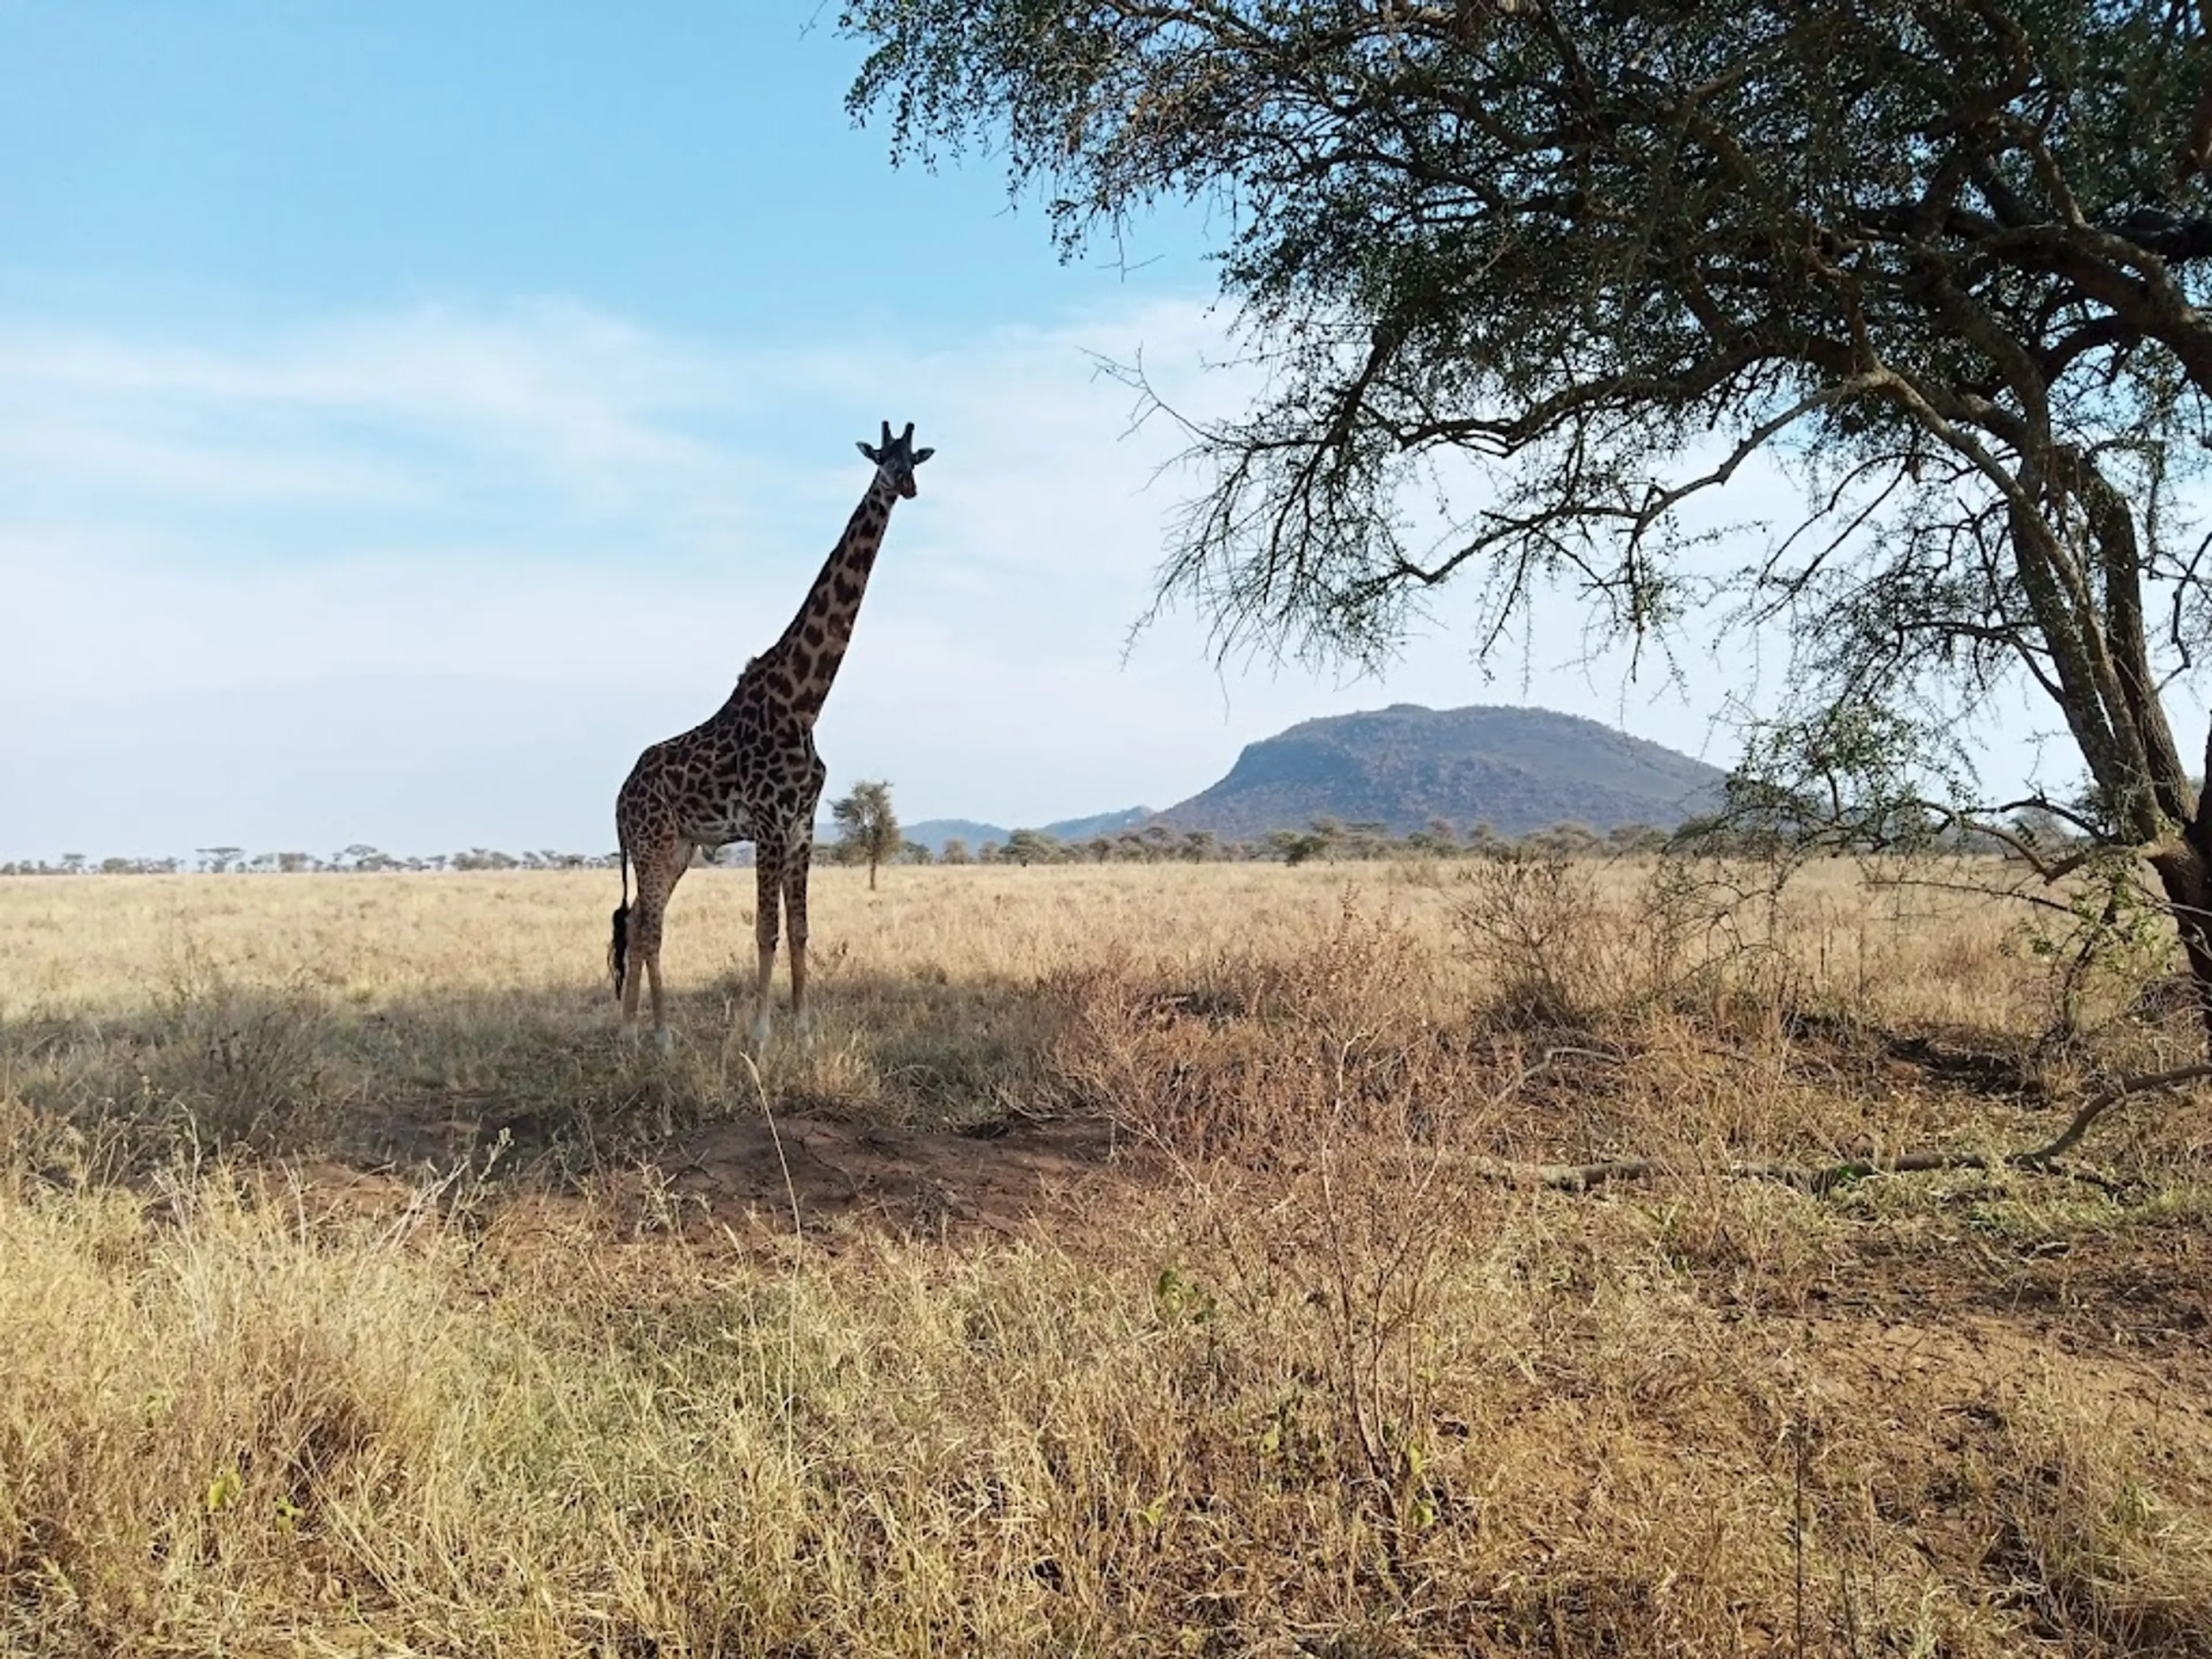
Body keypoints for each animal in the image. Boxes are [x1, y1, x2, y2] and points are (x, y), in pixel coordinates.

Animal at [610, 425, 938, 1052]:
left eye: (915, 458)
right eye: (881, 458)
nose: (905, 486)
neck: (804, 703)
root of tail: (618, 796)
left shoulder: (801, 826)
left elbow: (802, 928)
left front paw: (805, 1031)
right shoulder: (766, 822)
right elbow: (766, 930)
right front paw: (760, 1033)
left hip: (679, 846)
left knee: (638, 921)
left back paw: (638, 1032)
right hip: (651, 842)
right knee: (649, 926)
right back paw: (656, 1036)